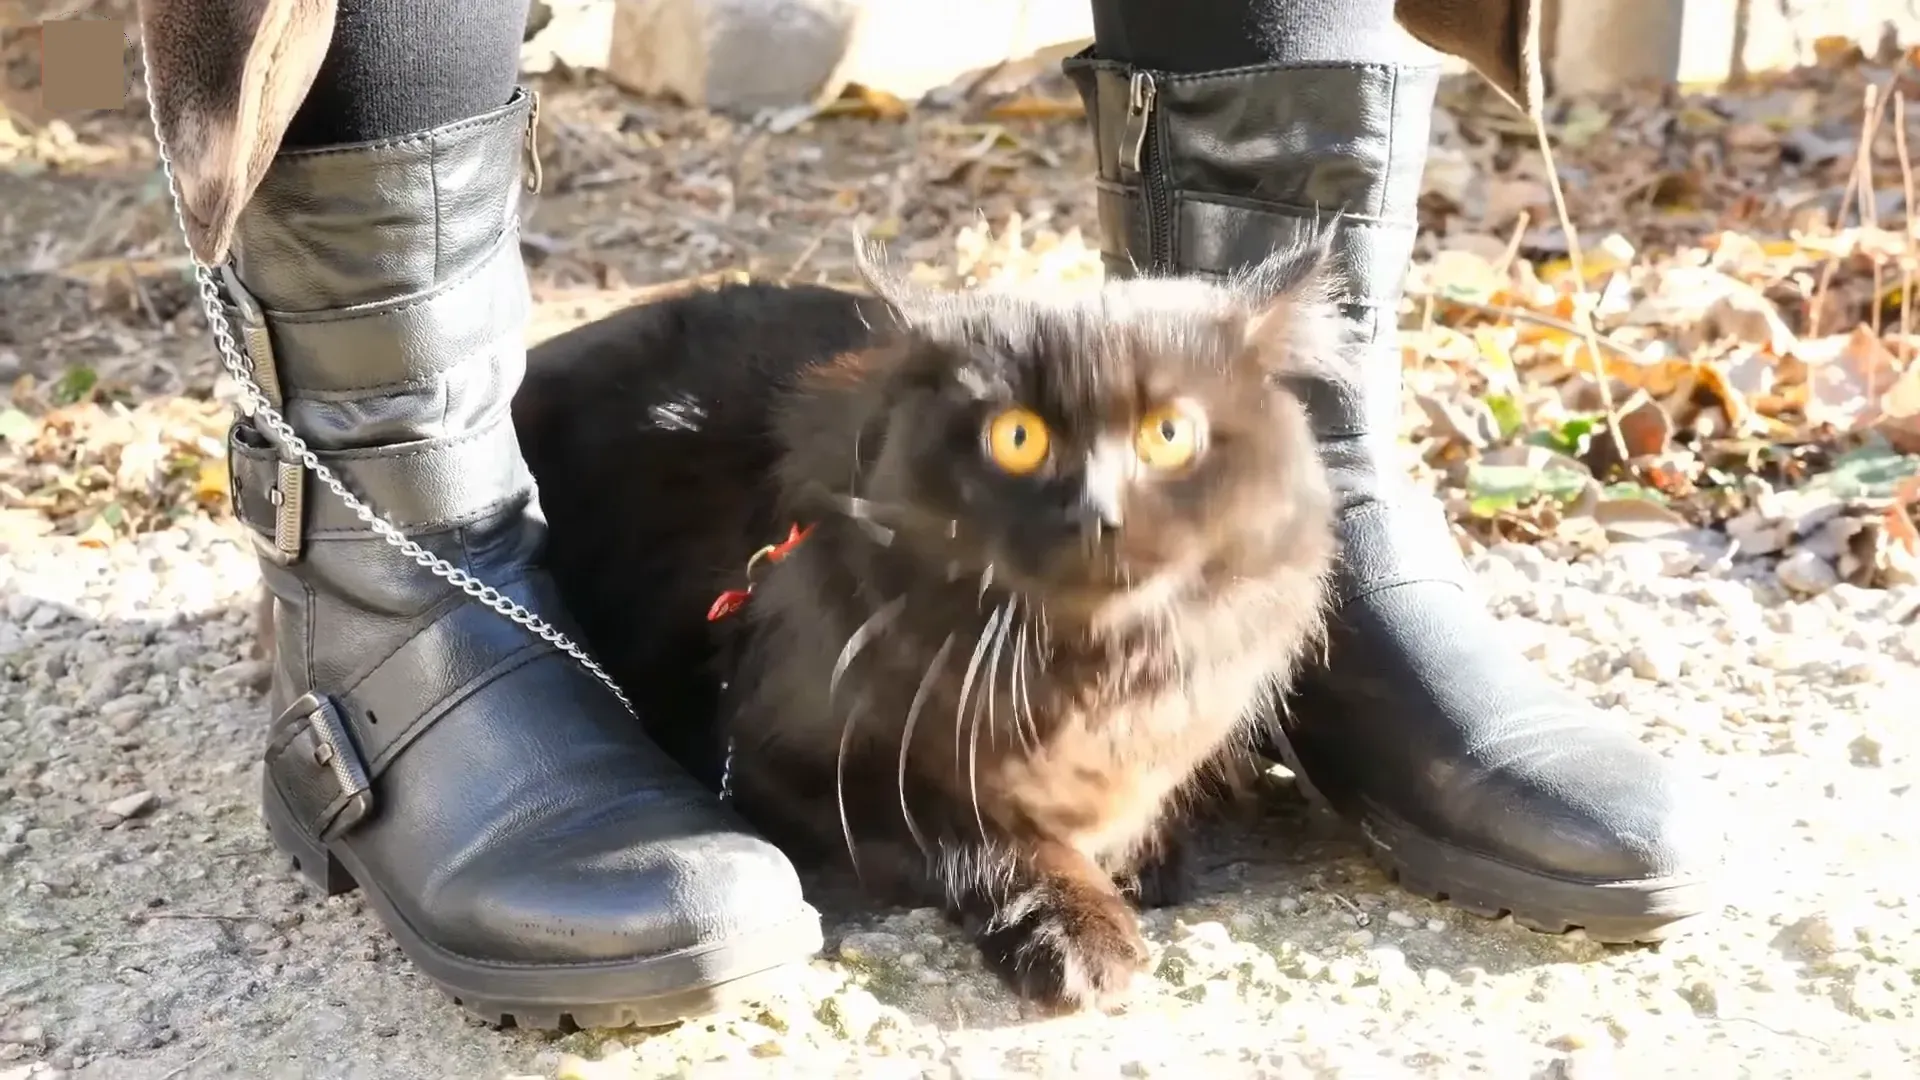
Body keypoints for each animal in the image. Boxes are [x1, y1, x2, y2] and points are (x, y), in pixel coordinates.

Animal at [518, 239, 1344, 1006]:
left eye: (1168, 434)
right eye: (1017, 438)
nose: (1096, 514)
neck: (1080, 669)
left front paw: (1141, 850)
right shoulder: (778, 759)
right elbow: (987, 834)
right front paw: (1080, 928)